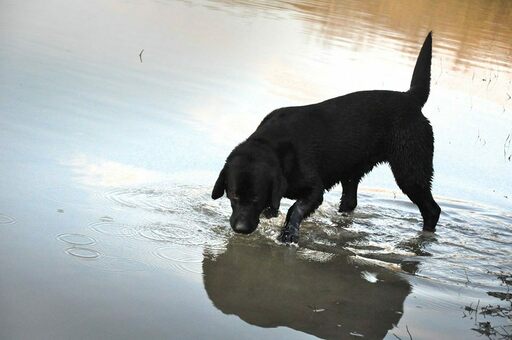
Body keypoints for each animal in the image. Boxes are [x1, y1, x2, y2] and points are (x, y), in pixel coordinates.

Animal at [211, 31, 440, 243]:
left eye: (256, 198)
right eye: (233, 195)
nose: (240, 228)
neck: (273, 146)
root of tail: (410, 98)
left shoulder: (314, 189)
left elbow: (295, 209)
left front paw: (288, 235)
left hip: (410, 171)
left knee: (432, 209)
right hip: (353, 170)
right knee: (350, 202)